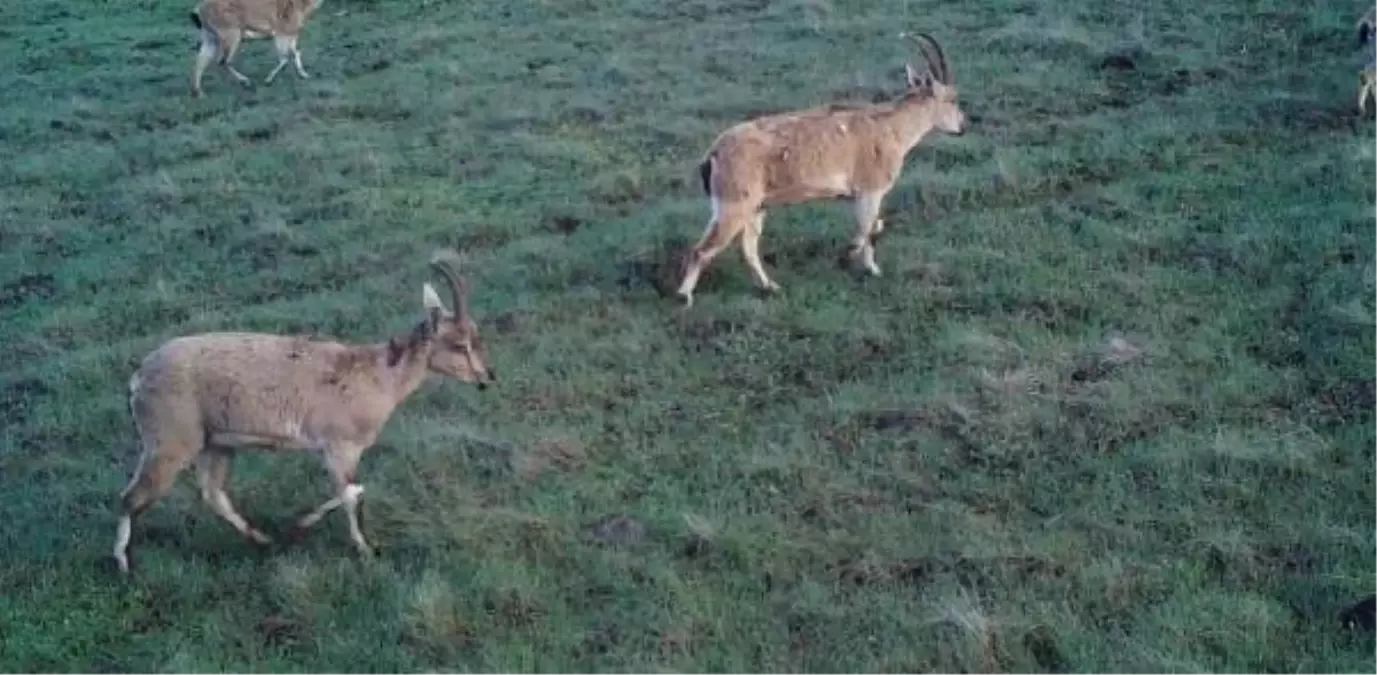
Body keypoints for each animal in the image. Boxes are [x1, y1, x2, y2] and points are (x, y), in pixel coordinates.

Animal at [111, 260, 495, 575]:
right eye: (459, 344)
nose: (486, 377)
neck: (377, 376)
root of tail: (138, 379)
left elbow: (350, 489)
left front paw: (297, 529)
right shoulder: (340, 446)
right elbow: (352, 490)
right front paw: (365, 549)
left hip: (215, 442)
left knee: (212, 492)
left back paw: (262, 539)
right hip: (171, 442)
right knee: (132, 497)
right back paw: (124, 565)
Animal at [191, 0, 324, 96]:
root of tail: (198, 11)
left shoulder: (292, 33)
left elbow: (296, 52)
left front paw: (304, 75)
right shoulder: (281, 32)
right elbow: (285, 58)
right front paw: (268, 80)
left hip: (209, 36)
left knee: (201, 59)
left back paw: (199, 93)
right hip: (231, 33)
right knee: (223, 60)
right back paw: (246, 82)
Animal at [671, 32, 963, 304]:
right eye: (951, 99)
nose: (962, 125)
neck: (891, 127)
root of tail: (713, 154)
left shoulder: (857, 195)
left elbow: (872, 226)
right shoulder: (871, 189)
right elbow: (869, 228)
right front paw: (865, 265)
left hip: (754, 206)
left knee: (748, 248)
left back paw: (770, 287)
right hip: (734, 204)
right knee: (702, 249)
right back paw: (684, 296)